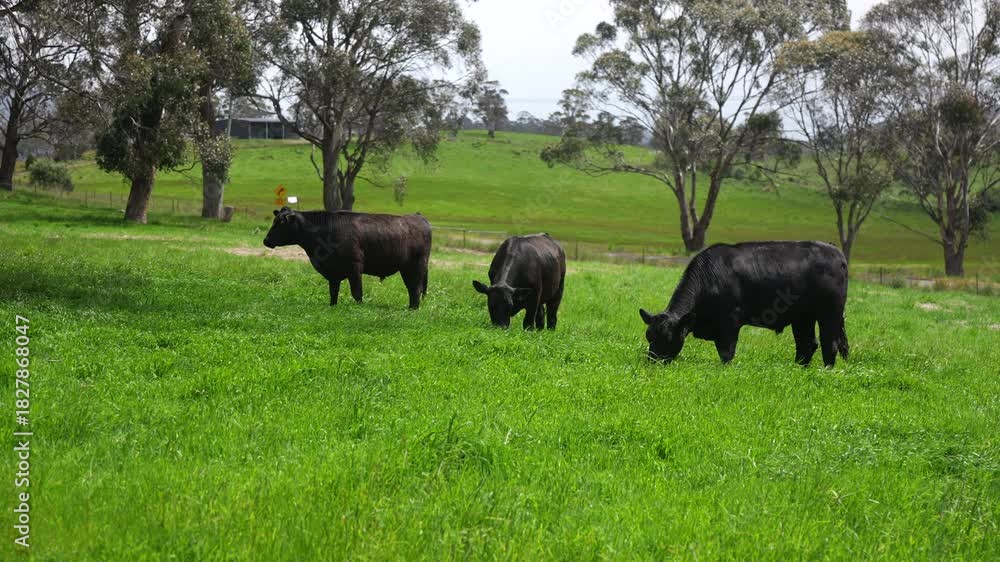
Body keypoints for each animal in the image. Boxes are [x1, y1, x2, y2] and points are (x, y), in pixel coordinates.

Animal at [263, 207, 431, 310]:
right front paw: (333, 306)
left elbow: (357, 292)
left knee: (416, 289)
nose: (266, 240)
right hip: (406, 269)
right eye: (274, 221)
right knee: (412, 288)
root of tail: (418, 216)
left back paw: (413, 310)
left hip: (417, 266)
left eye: (281, 223)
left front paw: (359, 308)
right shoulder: (332, 272)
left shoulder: (354, 267)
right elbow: (333, 292)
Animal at [639, 241, 850, 367]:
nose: (652, 362)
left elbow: (726, 352)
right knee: (806, 345)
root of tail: (836, 252)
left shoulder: (730, 322)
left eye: (667, 337)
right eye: (649, 336)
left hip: (830, 314)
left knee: (829, 344)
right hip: (803, 318)